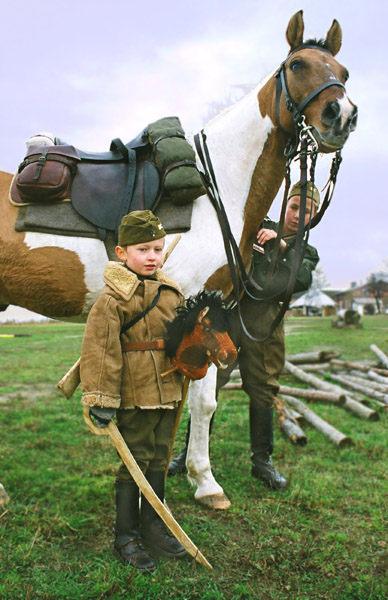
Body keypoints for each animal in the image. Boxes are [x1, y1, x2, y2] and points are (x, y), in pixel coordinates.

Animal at [0, 11, 358, 508]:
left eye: (343, 72)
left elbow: (203, 402)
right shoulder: (190, 306)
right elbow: (183, 400)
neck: (217, 186)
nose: (340, 115)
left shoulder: (214, 310)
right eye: (297, 64)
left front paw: (203, 482)